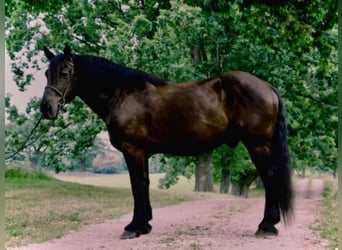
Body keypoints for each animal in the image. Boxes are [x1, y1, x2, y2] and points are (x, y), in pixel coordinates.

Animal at [40, 46, 292, 239]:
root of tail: (268, 87)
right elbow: (145, 183)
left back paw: (267, 226)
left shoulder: (133, 149)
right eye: (46, 73)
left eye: (65, 73)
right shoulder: (143, 152)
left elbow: (136, 185)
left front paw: (134, 227)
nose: (46, 108)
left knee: (270, 178)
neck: (122, 93)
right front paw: (145, 224)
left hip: (257, 145)